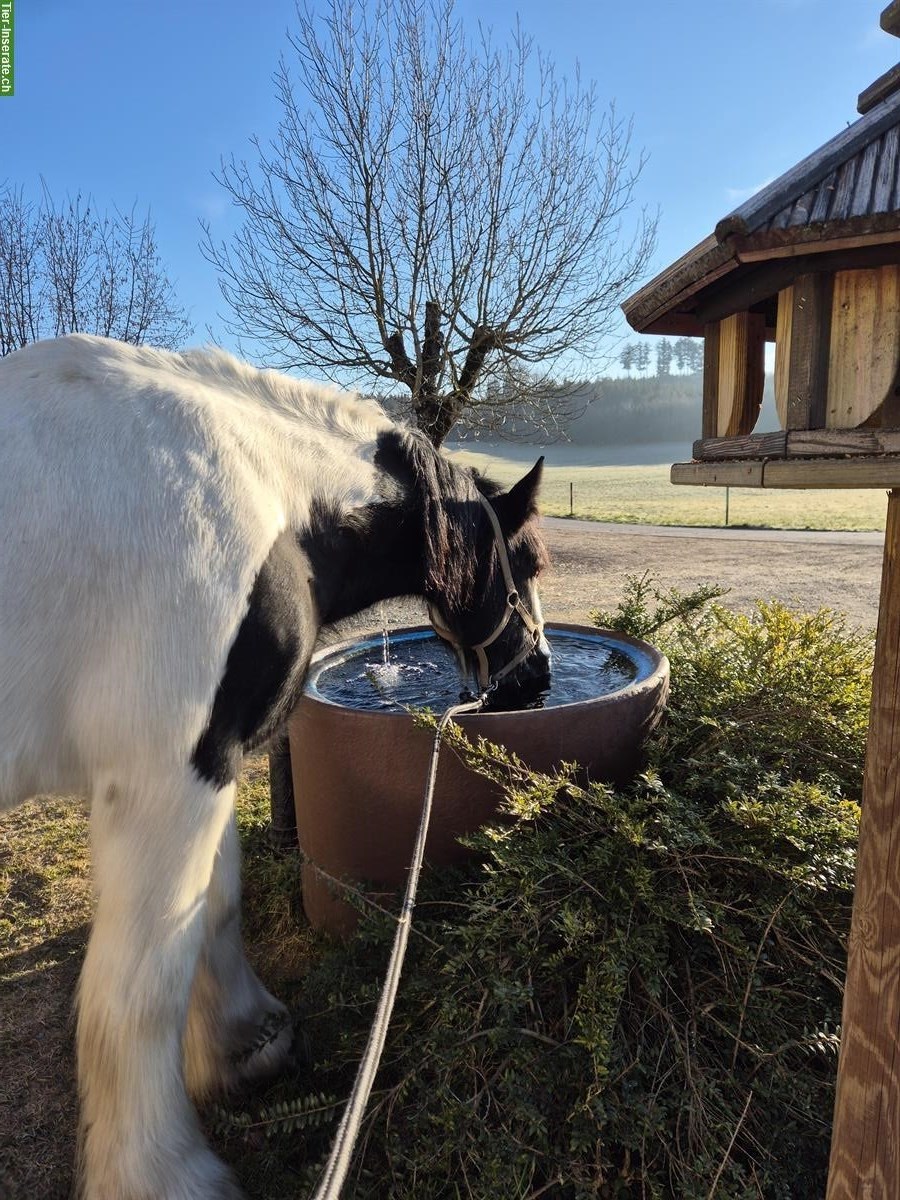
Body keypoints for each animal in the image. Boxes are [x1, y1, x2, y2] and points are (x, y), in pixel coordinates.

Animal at [0, 336, 554, 1200]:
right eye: (528, 560)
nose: (538, 681)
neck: (259, 496)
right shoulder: (169, 772)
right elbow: (139, 992)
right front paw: (168, 1174)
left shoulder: (214, 761)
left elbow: (214, 910)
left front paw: (244, 1045)